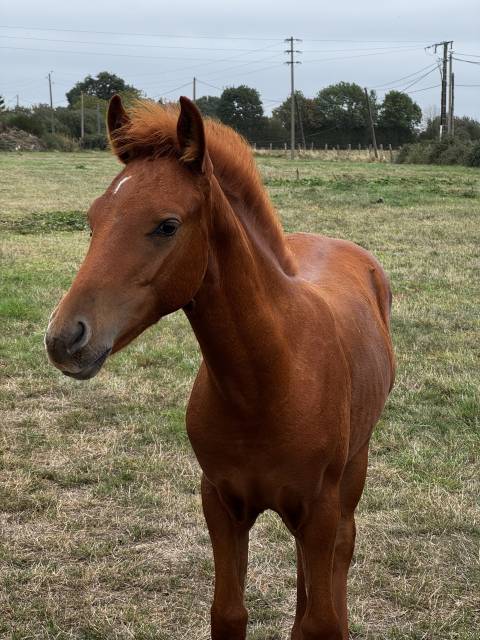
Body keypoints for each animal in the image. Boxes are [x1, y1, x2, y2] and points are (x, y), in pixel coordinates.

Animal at [45, 95, 395, 640]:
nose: (65, 338)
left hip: (354, 470)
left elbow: (320, 620)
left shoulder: (319, 508)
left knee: (343, 547)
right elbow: (229, 614)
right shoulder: (220, 503)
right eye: (94, 218)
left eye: (167, 225)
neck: (267, 382)